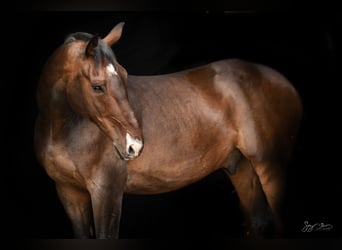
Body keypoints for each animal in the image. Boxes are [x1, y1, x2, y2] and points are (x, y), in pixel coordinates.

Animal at [34, 21, 302, 238]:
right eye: (97, 86)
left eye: (124, 75)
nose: (134, 145)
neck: (62, 130)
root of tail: (286, 84)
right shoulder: (70, 194)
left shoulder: (106, 193)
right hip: (243, 170)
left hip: (272, 168)